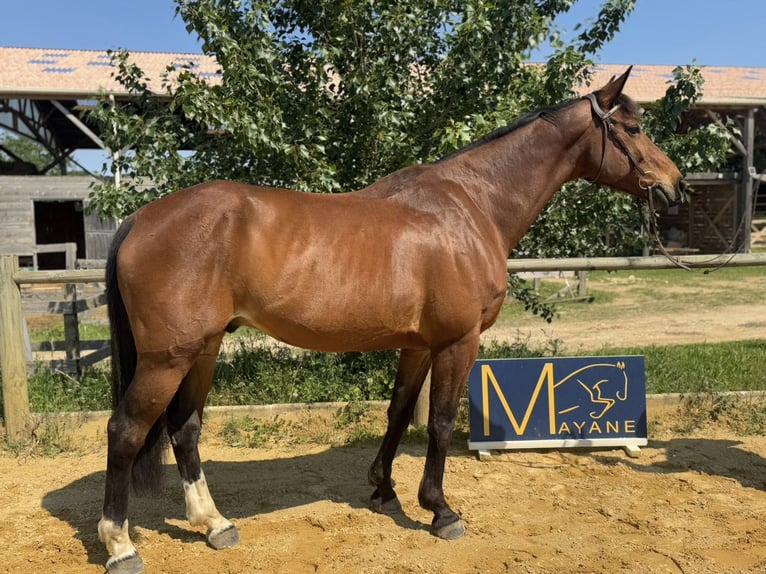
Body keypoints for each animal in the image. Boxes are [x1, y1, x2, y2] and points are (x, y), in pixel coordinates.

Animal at [98, 67, 684, 573]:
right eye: (633, 128)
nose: (676, 186)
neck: (471, 205)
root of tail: (139, 219)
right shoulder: (458, 341)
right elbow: (441, 421)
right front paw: (441, 510)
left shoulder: (418, 344)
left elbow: (400, 412)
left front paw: (384, 489)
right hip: (167, 358)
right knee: (126, 431)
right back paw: (120, 546)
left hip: (204, 348)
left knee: (185, 429)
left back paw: (214, 524)